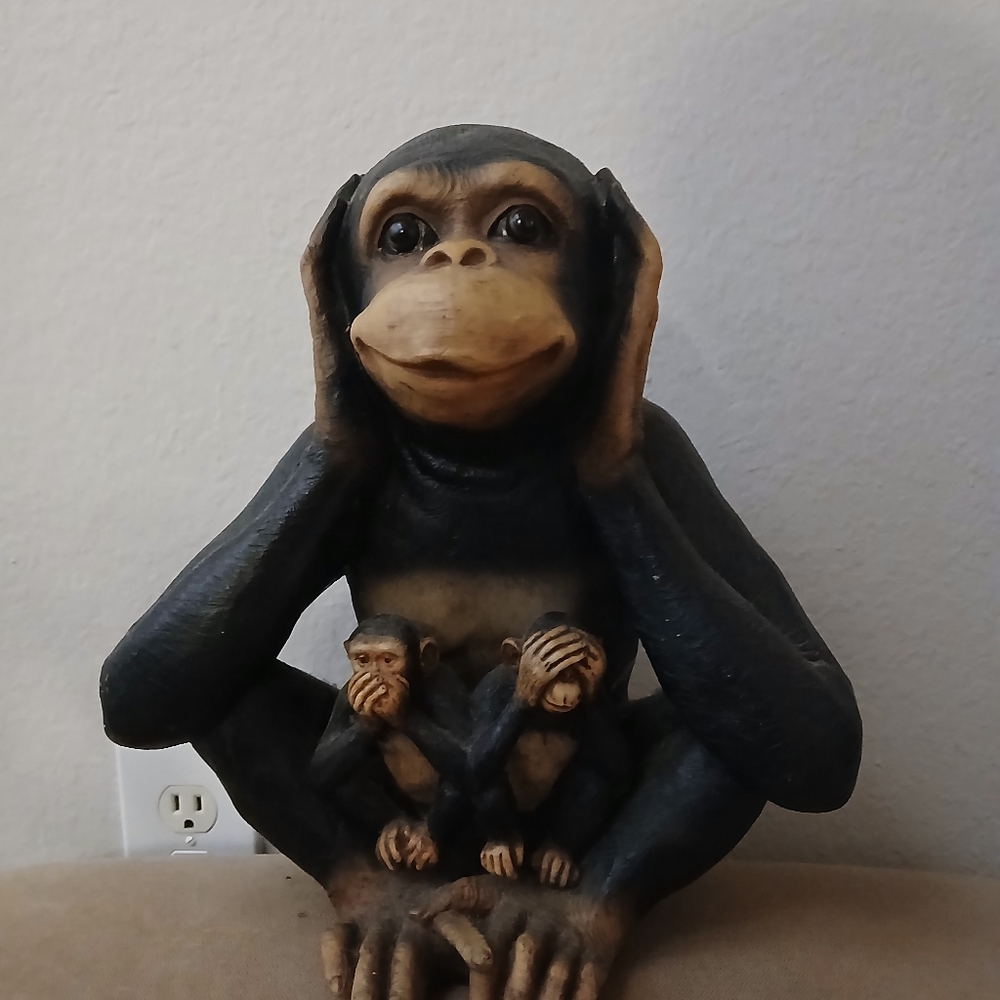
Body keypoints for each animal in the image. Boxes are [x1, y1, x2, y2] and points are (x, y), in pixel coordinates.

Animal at [308, 614, 470, 872]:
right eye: (363, 660)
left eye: (387, 660)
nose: (375, 676)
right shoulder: (344, 696)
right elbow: (319, 764)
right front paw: (369, 718)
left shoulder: (445, 686)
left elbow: (470, 756)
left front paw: (398, 707)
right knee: (338, 775)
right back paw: (394, 825)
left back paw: (425, 838)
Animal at [466, 614, 631, 888]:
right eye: (553, 669)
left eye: (577, 670)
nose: (567, 682)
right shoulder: (489, 691)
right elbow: (473, 761)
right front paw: (530, 679)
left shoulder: (602, 701)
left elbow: (621, 765)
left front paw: (595, 664)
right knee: (487, 775)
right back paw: (501, 845)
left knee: (592, 777)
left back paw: (557, 854)